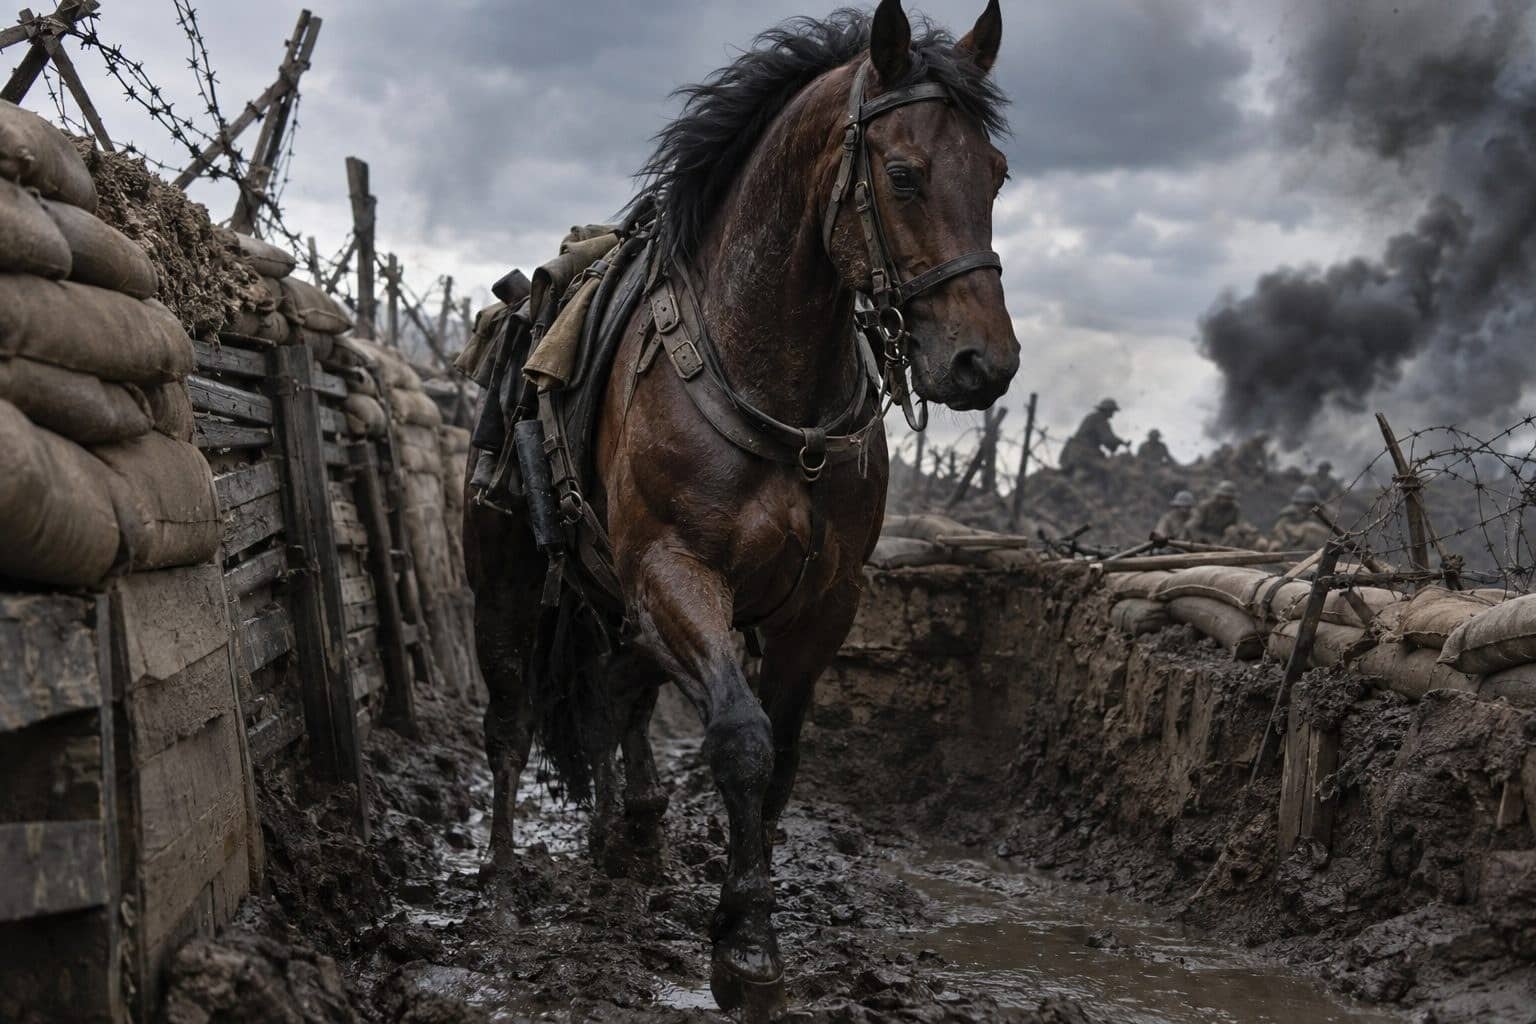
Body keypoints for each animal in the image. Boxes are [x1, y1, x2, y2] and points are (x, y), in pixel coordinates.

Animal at [465, 1, 1017, 1015]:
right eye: (905, 174)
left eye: (995, 174)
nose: (982, 365)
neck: (770, 382)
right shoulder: (677, 573)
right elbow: (741, 740)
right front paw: (748, 948)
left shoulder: (823, 604)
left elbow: (784, 756)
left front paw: (731, 908)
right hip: (510, 585)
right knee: (512, 723)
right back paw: (505, 885)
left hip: (613, 603)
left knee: (611, 699)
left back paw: (627, 836)